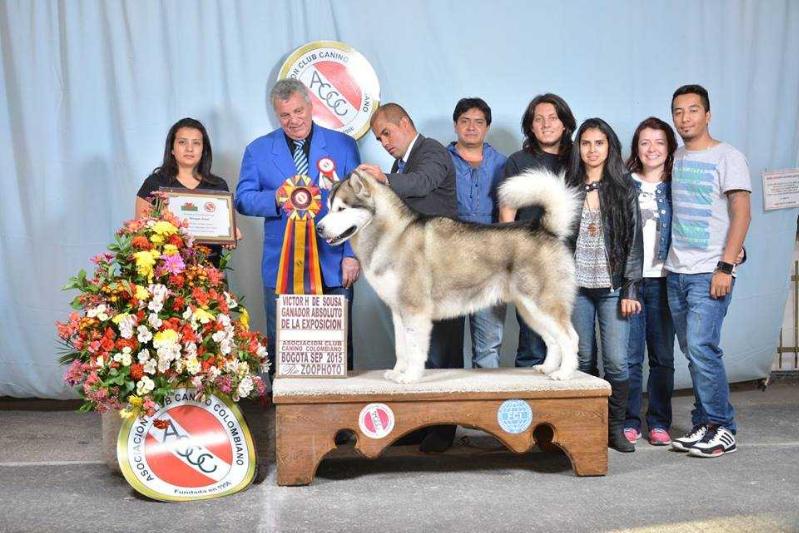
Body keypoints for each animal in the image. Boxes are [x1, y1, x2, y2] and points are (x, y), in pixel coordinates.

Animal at [316, 168, 580, 380]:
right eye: (328, 208)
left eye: (341, 209)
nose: (319, 228)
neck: (392, 235)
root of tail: (544, 229)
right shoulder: (398, 311)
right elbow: (401, 348)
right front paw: (397, 372)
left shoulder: (415, 310)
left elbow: (415, 349)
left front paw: (410, 377)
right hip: (530, 310)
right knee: (553, 340)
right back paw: (548, 368)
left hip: (543, 305)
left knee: (570, 338)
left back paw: (564, 374)